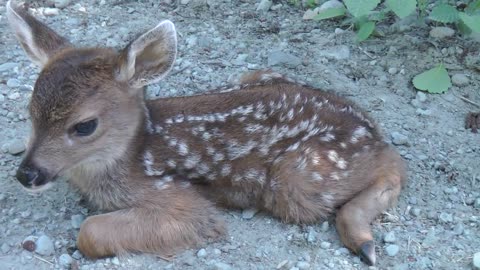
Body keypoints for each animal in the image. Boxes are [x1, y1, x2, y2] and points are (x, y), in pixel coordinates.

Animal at [6, 0, 404, 266]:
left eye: (85, 126)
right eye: (30, 113)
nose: (27, 174)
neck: (129, 157)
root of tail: (369, 127)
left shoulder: (180, 200)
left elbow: (88, 232)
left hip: (300, 178)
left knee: (395, 166)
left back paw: (363, 241)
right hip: (255, 78)